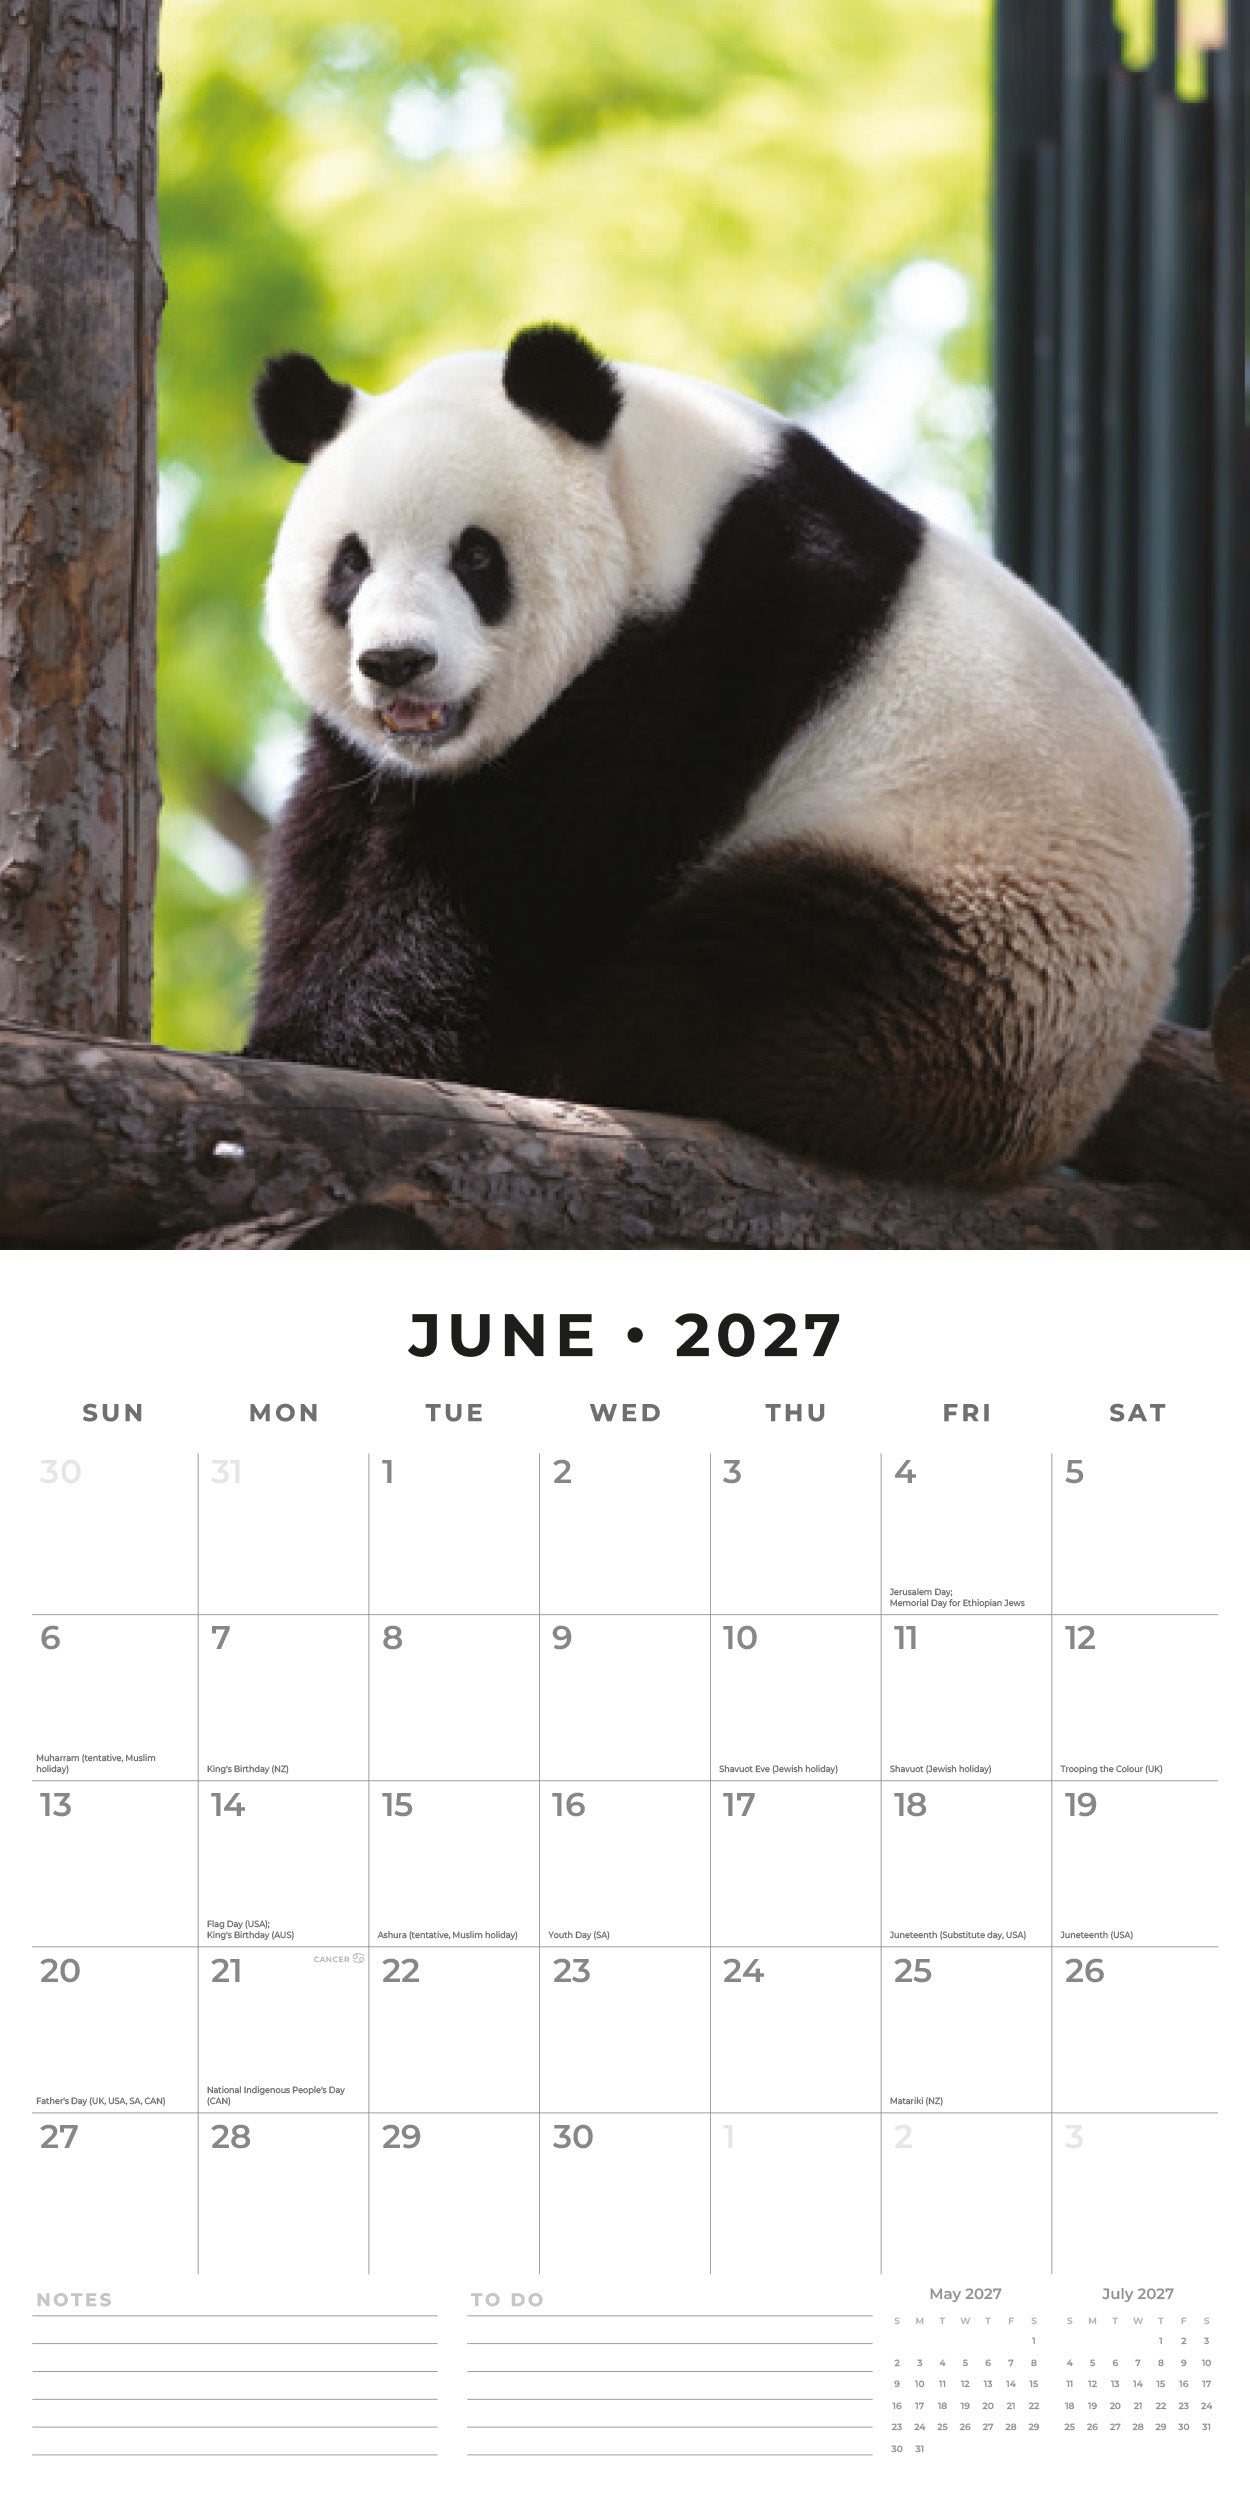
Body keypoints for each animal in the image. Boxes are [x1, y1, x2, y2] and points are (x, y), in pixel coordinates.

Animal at [245, 322, 1190, 1182]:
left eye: (476, 556)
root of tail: (1051, 1129)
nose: (397, 661)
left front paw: (335, 1048)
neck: (656, 497)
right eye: (351, 564)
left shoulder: (715, 641)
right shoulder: (372, 761)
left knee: (745, 989)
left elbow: (518, 879)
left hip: (962, 925)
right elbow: (333, 852)